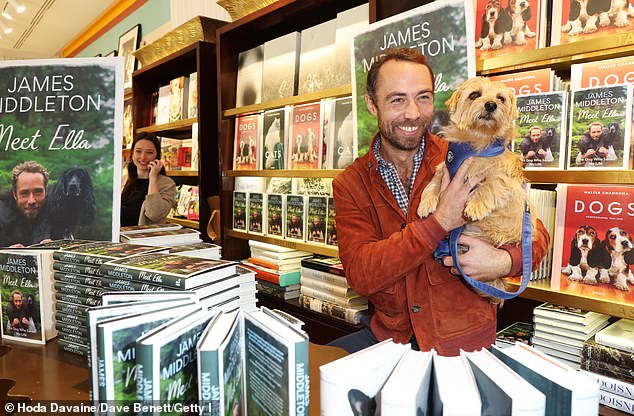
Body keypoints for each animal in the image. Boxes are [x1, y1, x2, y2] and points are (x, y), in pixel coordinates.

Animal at [418, 77, 536, 302]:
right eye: (475, 95)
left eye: (500, 98)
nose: (491, 105)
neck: (477, 141)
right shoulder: (446, 168)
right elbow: (434, 181)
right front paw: (425, 204)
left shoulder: (505, 179)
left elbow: (491, 183)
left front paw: (476, 205)